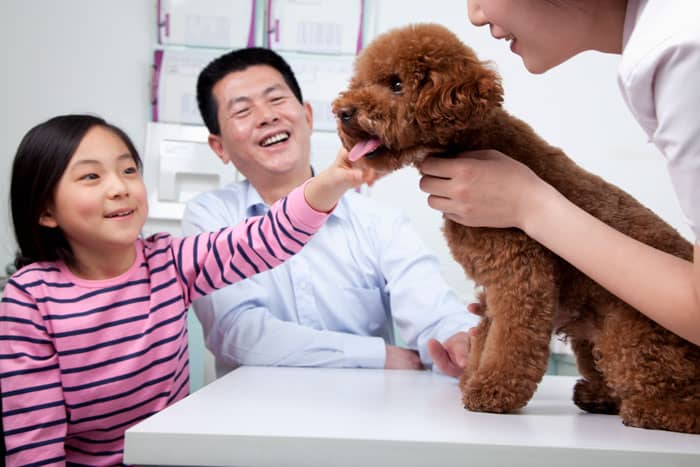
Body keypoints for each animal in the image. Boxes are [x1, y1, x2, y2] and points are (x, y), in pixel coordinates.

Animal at [334, 23, 700, 436]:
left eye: (396, 84)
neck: (469, 142)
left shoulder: (521, 274)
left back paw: (651, 410)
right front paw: (472, 377)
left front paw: (492, 392)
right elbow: (485, 337)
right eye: (360, 81)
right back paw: (598, 396)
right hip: (590, 341)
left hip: (629, 335)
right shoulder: (492, 287)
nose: (344, 112)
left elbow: (511, 340)